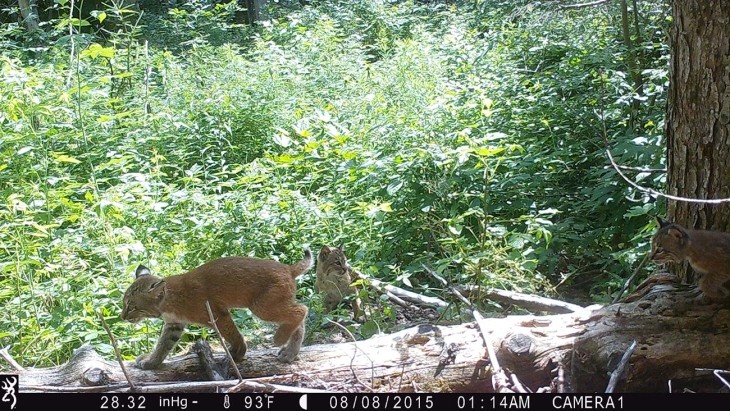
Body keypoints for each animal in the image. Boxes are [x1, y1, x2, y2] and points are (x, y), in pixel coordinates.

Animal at [118, 249, 310, 372]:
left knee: (302, 309)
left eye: (132, 306)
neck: (167, 301)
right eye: (124, 303)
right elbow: (164, 345)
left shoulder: (218, 314)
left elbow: (233, 334)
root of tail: (287, 268)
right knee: (298, 318)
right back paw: (290, 353)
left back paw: (280, 339)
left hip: (261, 306)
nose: (122, 317)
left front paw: (238, 353)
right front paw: (152, 362)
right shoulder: (174, 324)